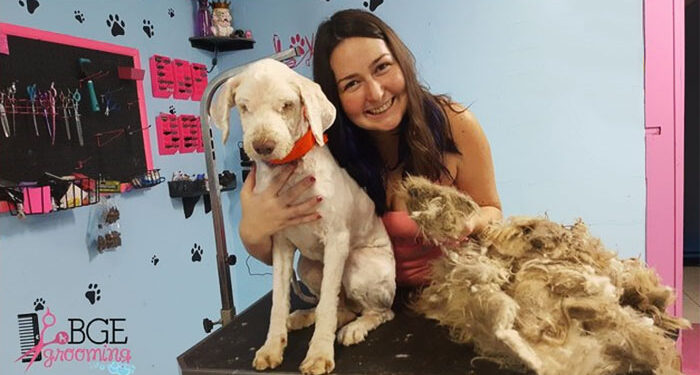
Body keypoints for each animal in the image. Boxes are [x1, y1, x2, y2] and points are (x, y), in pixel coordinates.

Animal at [208, 58, 396, 375]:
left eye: (287, 105)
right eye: (244, 107)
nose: (263, 147)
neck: (291, 169)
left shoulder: (336, 240)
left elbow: (328, 305)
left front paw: (319, 354)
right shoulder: (281, 245)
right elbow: (278, 301)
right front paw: (272, 347)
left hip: (358, 264)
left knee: (379, 311)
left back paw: (356, 327)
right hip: (308, 266)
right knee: (341, 307)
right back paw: (305, 316)